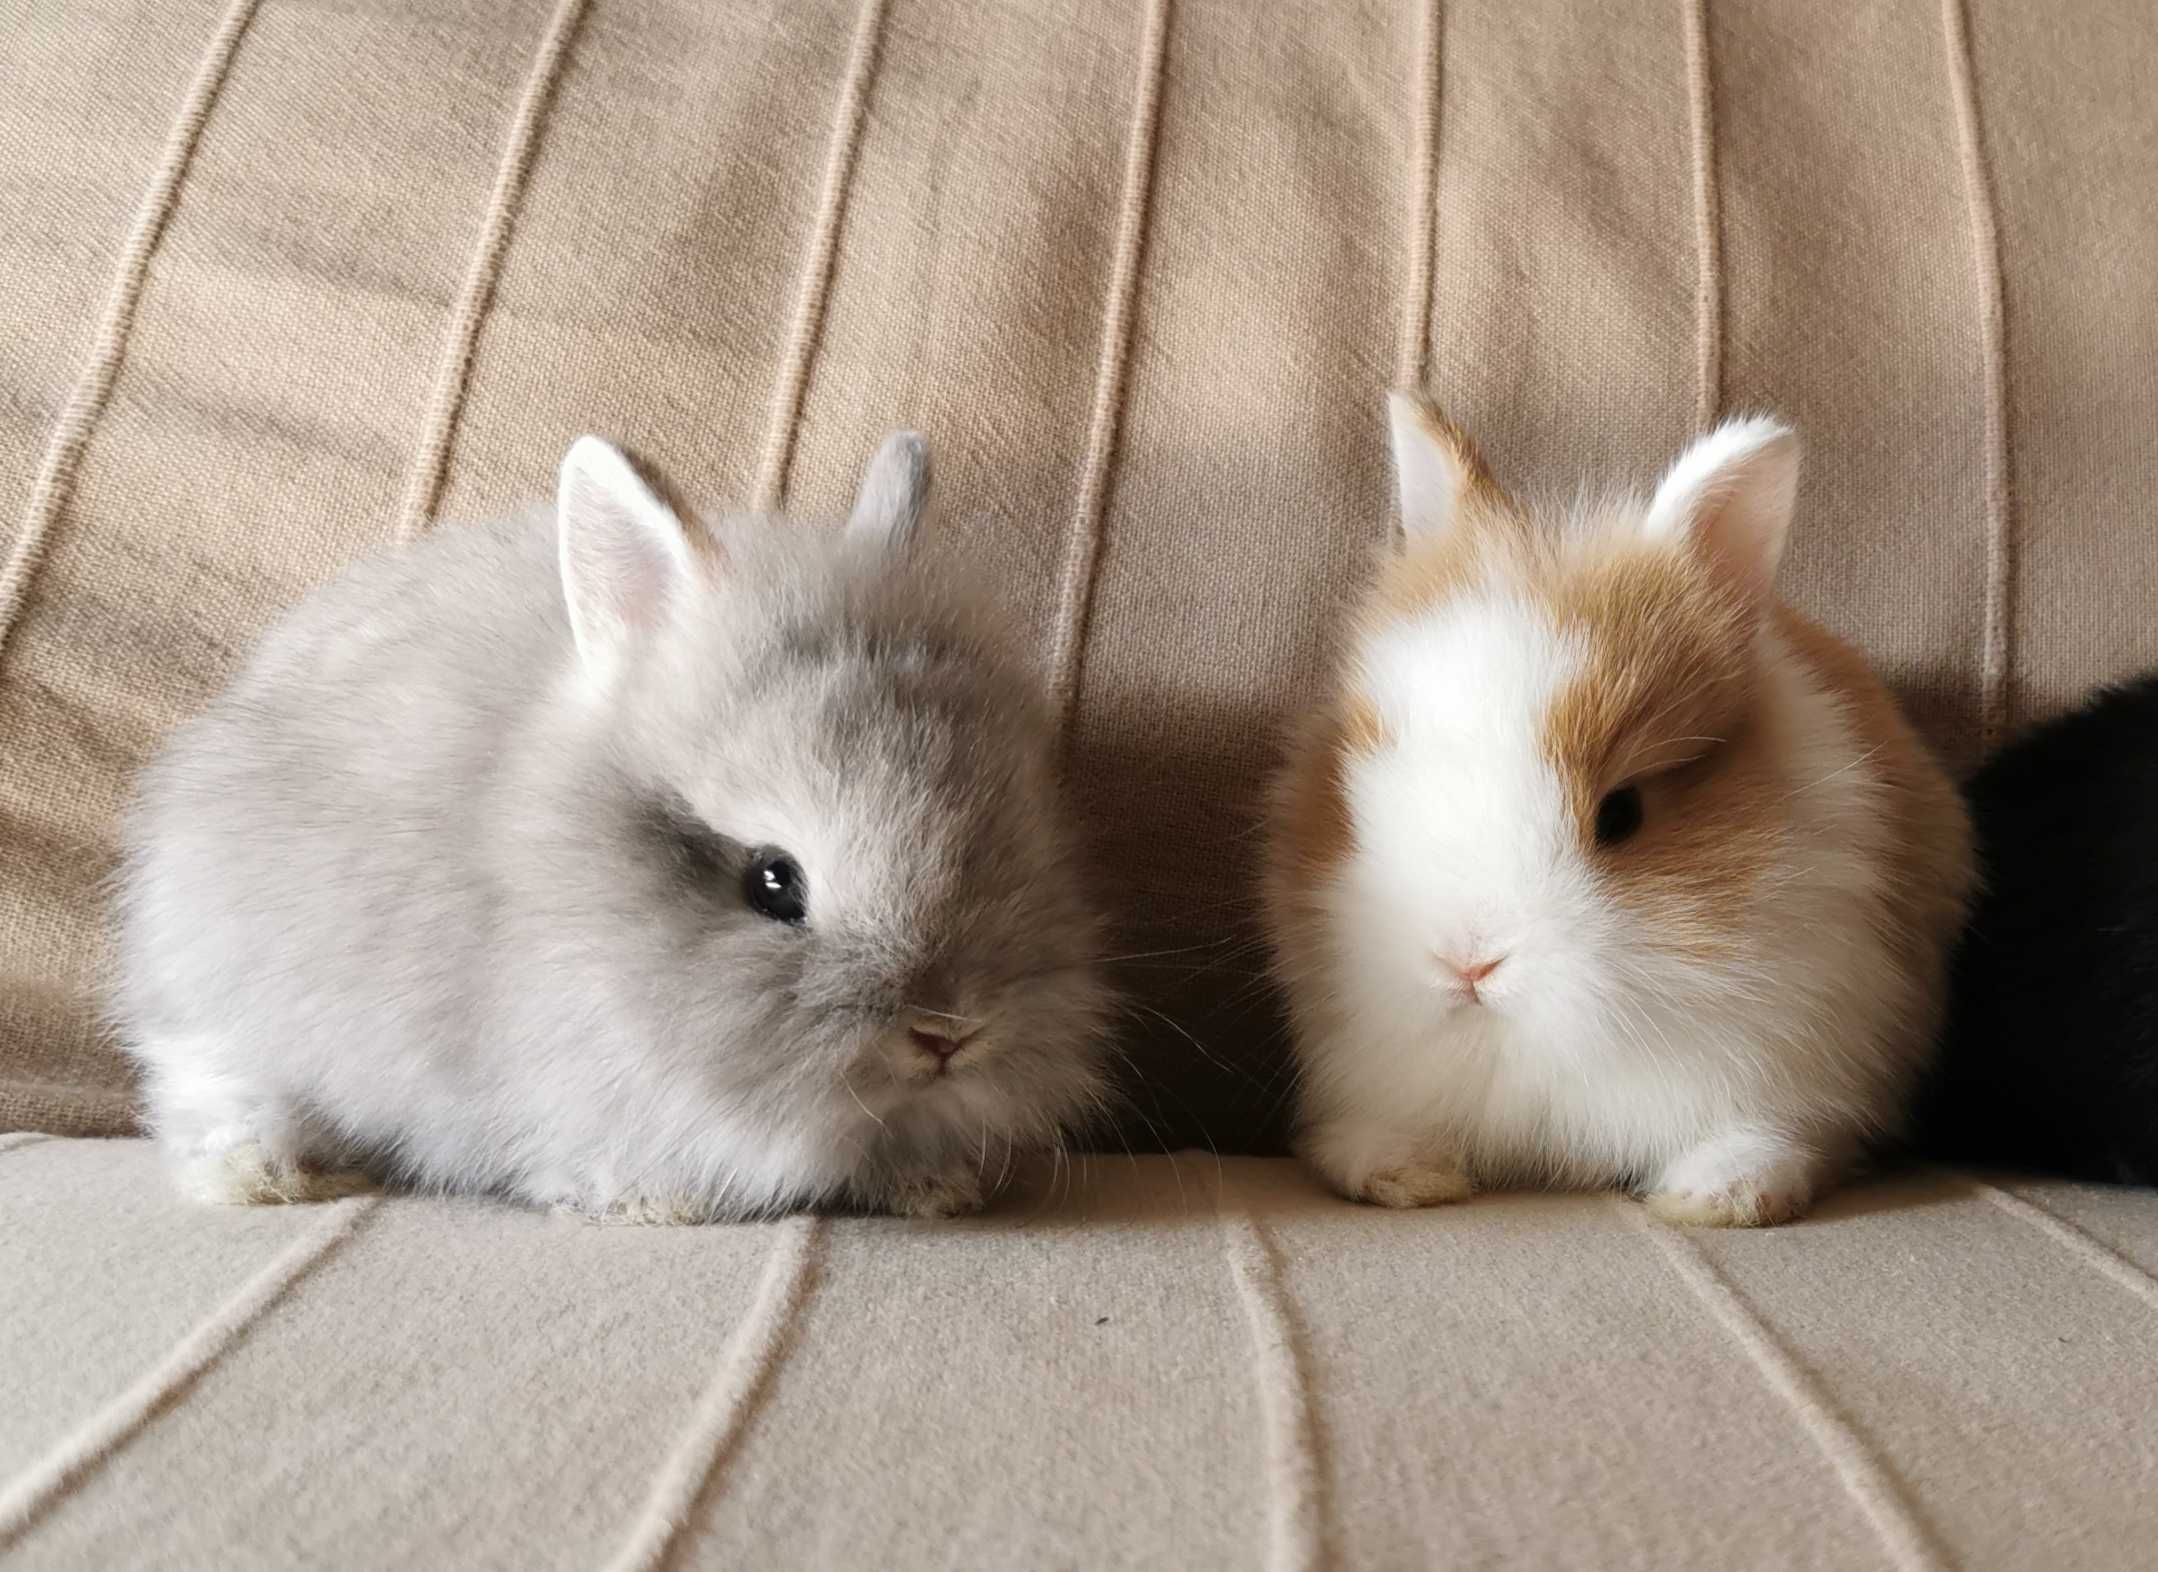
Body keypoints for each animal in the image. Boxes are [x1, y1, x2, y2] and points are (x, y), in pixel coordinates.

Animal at [113, 436, 1113, 1217]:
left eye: (1019, 837)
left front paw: (935, 1188)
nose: (948, 1033)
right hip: (218, 991)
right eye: (772, 881)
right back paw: (270, 1177)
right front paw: (652, 1201)